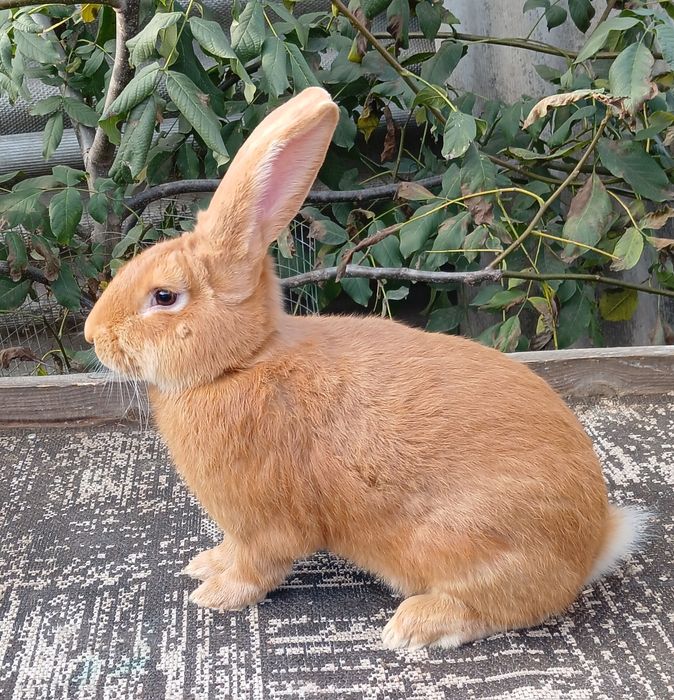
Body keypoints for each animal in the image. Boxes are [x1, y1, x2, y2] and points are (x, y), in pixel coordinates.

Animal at [84, 87, 646, 650]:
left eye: (164, 297)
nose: (92, 335)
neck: (241, 363)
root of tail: (591, 544)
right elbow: (231, 551)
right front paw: (204, 564)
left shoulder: (265, 524)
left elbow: (257, 566)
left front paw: (215, 595)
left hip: (465, 544)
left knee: (498, 607)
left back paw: (413, 625)